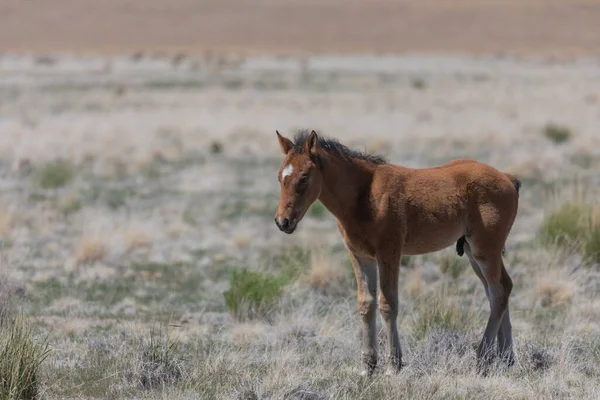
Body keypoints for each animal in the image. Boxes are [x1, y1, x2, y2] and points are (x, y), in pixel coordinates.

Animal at [274, 130, 520, 376]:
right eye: (279, 177)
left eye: (304, 177)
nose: (282, 222)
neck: (364, 195)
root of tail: (508, 178)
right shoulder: (360, 256)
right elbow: (366, 303)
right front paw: (368, 367)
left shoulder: (389, 252)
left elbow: (388, 304)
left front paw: (394, 365)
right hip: (473, 251)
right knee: (500, 288)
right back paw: (506, 358)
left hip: (484, 250)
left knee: (498, 292)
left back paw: (483, 358)